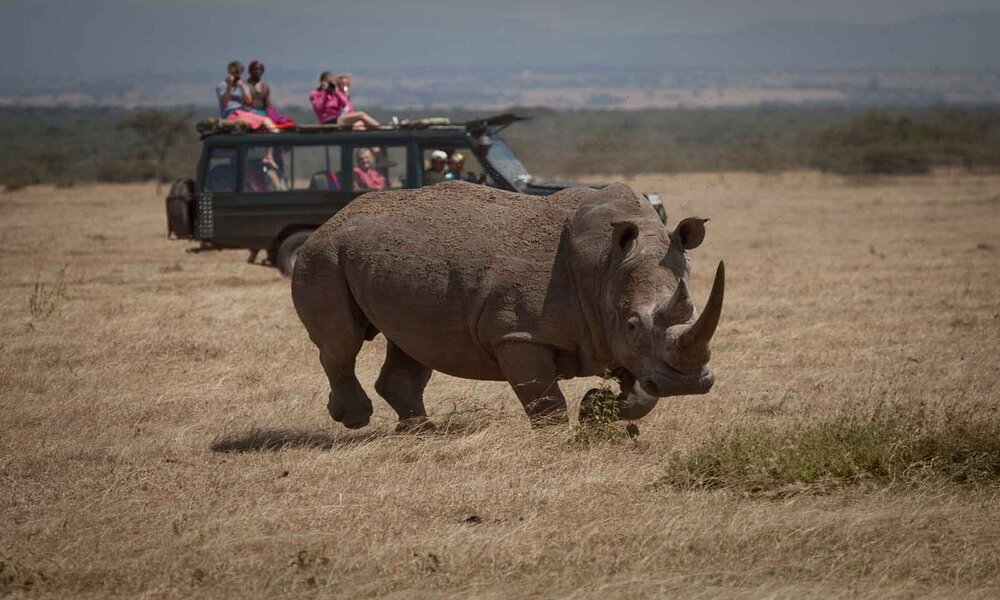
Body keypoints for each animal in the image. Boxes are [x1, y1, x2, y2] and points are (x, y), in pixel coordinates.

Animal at [291, 180, 724, 430]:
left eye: (692, 312)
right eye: (633, 324)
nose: (687, 384)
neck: (605, 267)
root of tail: (335, 217)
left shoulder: (615, 336)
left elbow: (643, 394)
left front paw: (597, 410)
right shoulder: (517, 334)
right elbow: (544, 400)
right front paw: (561, 438)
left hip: (391, 264)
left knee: (411, 343)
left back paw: (420, 431)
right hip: (322, 254)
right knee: (342, 343)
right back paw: (354, 419)